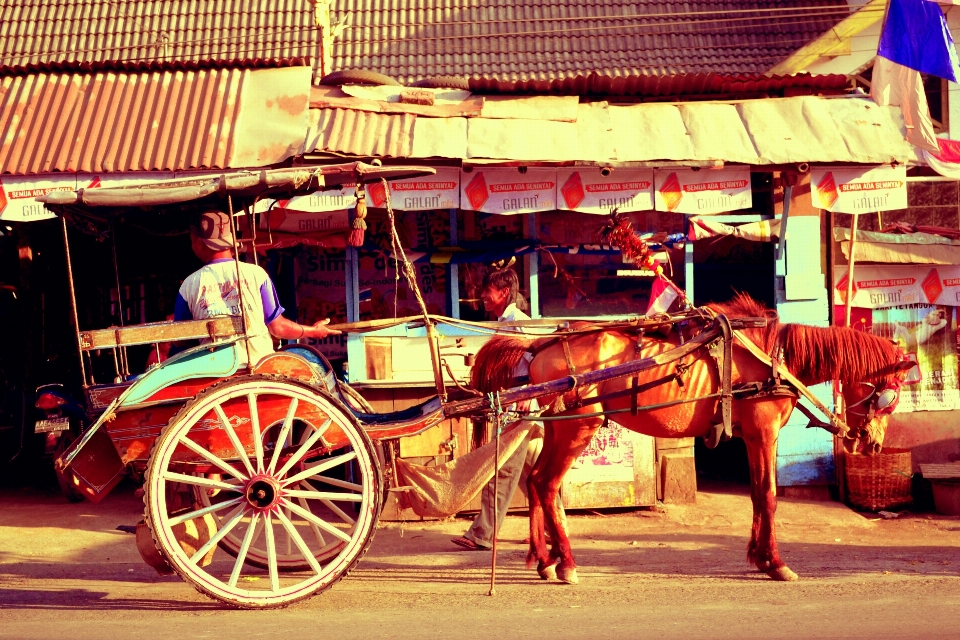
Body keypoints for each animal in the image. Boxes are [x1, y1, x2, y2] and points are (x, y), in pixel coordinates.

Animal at [472, 296, 916, 584]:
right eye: (890, 394)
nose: (873, 445)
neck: (777, 355)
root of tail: (538, 344)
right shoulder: (764, 432)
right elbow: (770, 495)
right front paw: (776, 563)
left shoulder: (754, 436)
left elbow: (758, 493)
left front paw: (759, 558)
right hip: (580, 426)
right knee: (547, 484)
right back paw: (565, 563)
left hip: (559, 424)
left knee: (534, 481)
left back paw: (543, 559)